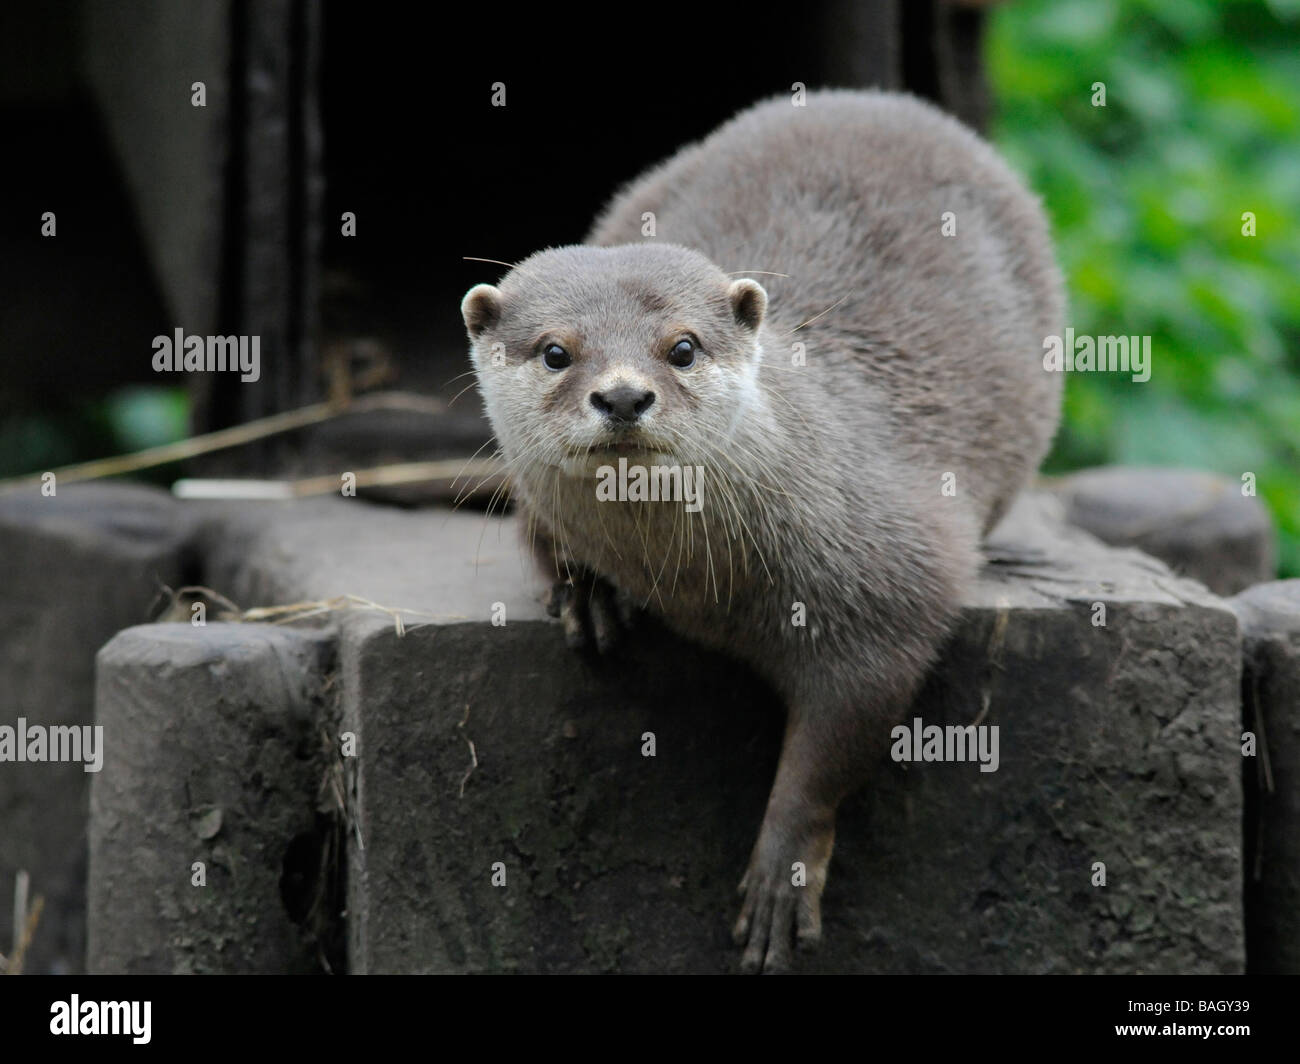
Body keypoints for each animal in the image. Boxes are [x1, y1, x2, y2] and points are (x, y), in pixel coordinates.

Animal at [460, 89, 1063, 972]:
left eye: (681, 346)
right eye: (554, 352)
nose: (622, 396)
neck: (701, 589)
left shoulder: (887, 587)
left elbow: (838, 740)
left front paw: (785, 872)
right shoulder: (532, 504)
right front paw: (589, 596)